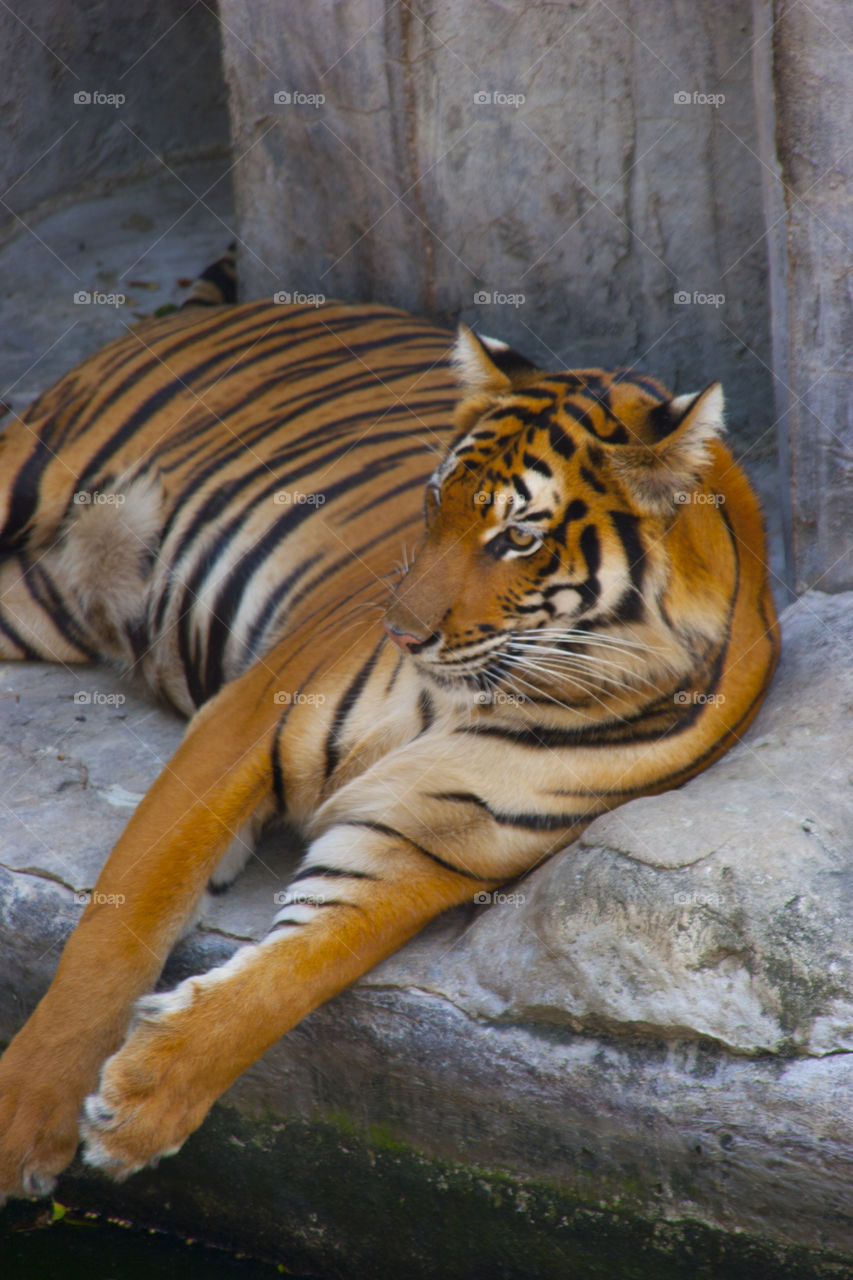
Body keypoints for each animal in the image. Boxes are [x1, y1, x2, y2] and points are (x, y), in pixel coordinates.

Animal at [0, 290, 778, 1198]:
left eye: (517, 538)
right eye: (435, 504)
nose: (399, 633)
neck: (506, 690)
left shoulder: (421, 845)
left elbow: (295, 971)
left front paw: (144, 1103)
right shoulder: (245, 721)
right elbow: (119, 927)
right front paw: (25, 1117)